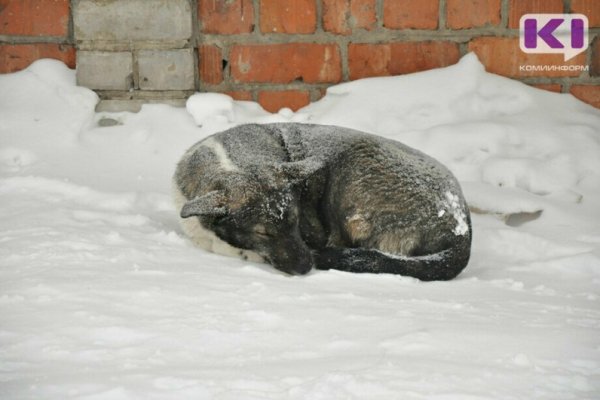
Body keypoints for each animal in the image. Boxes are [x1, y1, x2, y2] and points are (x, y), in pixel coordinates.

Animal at [171, 123, 472, 280]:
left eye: (295, 221)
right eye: (263, 233)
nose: (306, 266)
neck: (229, 160)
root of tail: (463, 229)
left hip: (352, 168)